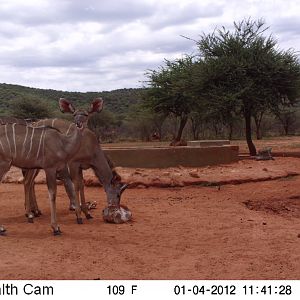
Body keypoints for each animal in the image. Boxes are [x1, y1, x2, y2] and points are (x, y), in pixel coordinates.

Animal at [0, 98, 102, 234]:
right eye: (74, 114)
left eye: (86, 114)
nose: (78, 124)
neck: (63, 143)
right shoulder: (50, 169)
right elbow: (52, 194)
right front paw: (55, 227)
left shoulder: (58, 169)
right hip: (5, 164)